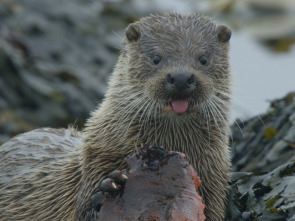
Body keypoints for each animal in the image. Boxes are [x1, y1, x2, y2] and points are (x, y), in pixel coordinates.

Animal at [0, 12, 231, 220]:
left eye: (204, 59)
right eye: (156, 58)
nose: (181, 77)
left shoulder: (215, 187)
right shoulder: (91, 169)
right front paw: (111, 188)